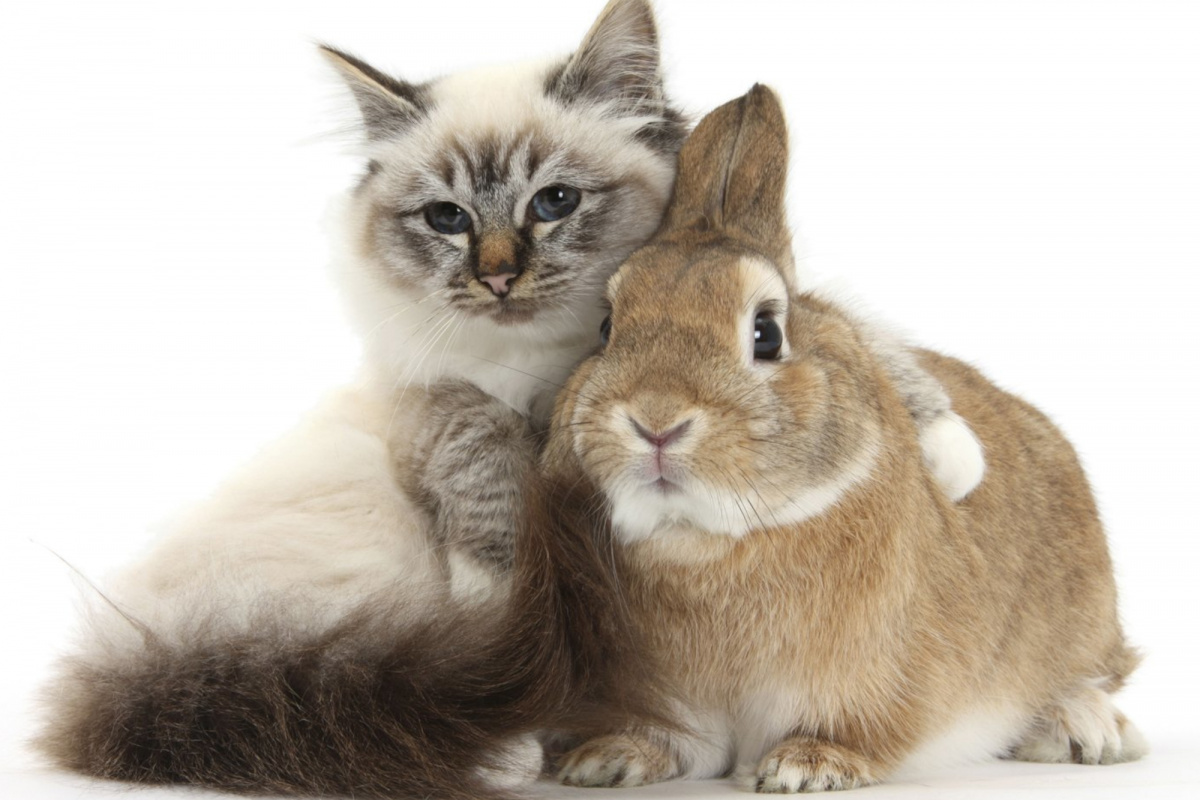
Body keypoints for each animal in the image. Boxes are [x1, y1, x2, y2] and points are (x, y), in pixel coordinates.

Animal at [547, 85, 1145, 792]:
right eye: (607, 328)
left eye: (766, 333)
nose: (656, 420)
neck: (706, 540)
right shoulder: (672, 702)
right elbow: (667, 738)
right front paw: (609, 758)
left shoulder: (865, 683)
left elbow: (847, 728)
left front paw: (807, 767)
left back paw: (1084, 730)